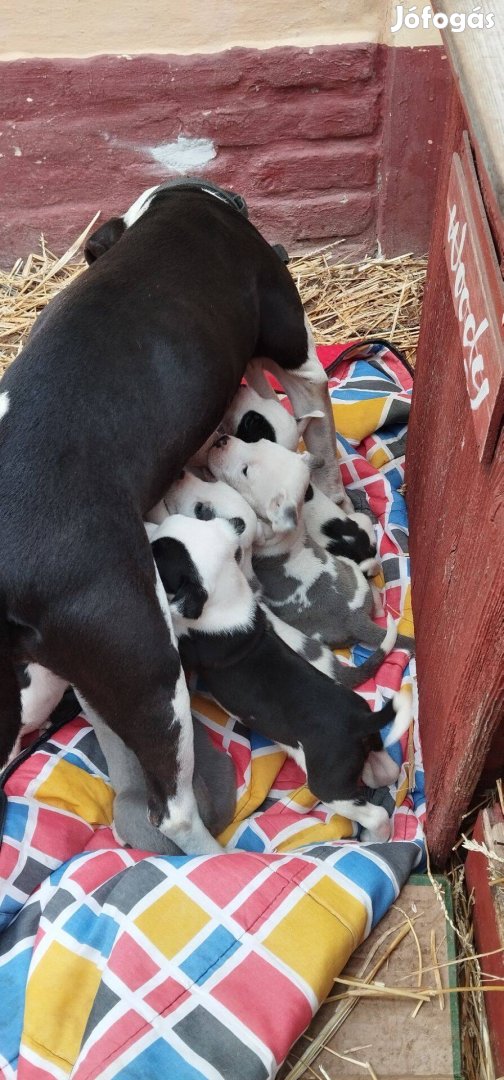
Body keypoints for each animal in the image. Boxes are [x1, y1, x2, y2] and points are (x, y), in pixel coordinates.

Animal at [0, 177, 345, 855]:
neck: (174, 206)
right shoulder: (298, 356)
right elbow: (320, 435)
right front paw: (334, 491)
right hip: (153, 676)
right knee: (175, 812)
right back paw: (216, 860)